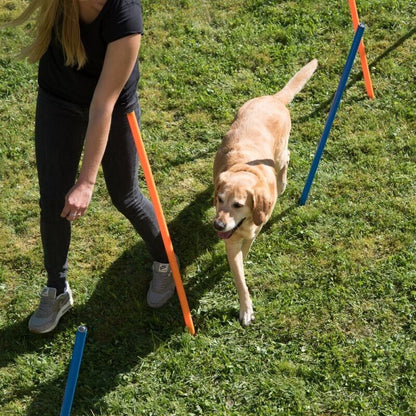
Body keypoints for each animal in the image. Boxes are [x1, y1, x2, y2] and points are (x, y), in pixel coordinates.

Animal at [213, 59, 316, 324]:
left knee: (287, 158)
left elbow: (247, 247)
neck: (244, 170)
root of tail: (275, 99)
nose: (218, 225)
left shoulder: (253, 228)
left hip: (279, 155)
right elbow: (240, 279)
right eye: (219, 200)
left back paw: (282, 184)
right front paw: (245, 306)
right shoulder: (232, 242)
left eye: (238, 205)